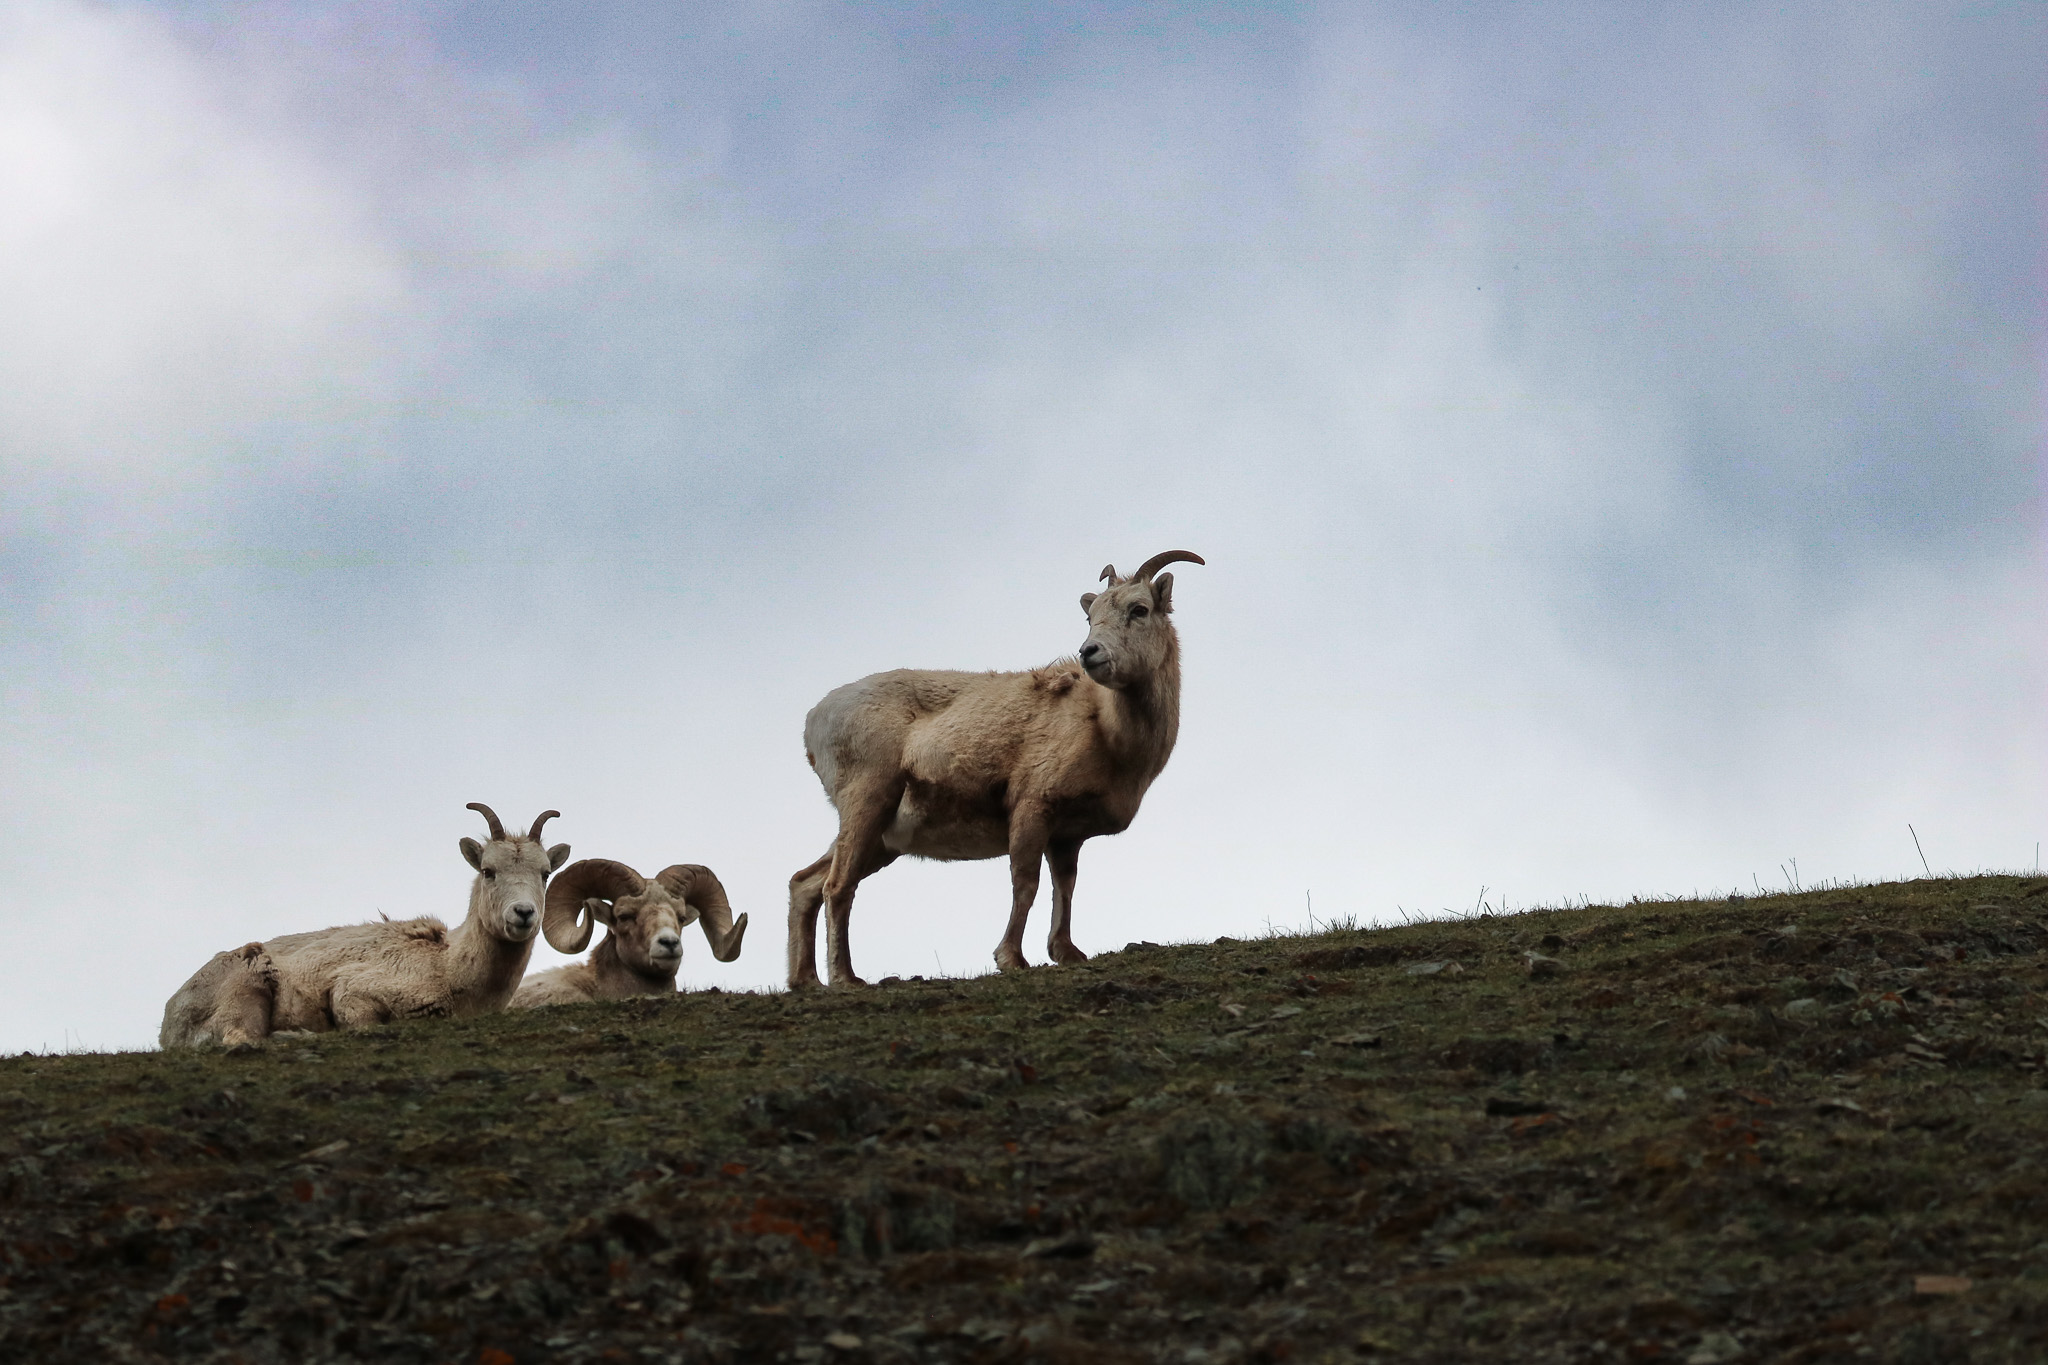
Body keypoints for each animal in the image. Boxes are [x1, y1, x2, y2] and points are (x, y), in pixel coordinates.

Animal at [159, 806, 569, 1055]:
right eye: (488, 870)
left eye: (545, 873)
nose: (523, 914)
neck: (450, 970)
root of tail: (170, 1021)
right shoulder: (352, 994)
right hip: (246, 987)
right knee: (240, 1037)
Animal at [782, 548, 1196, 986]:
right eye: (1091, 616)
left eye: (1139, 609)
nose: (1090, 653)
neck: (1104, 727)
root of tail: (814, 718)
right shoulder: (1032, 808)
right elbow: (1025, 884)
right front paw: (1011, 958)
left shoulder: (1067, 837)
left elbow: (1064, 888)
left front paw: (1066, 953)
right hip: (865, 803)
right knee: (836, 886)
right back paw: (846, 978)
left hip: (881, 838)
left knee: (805, 884)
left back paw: (806, 980)